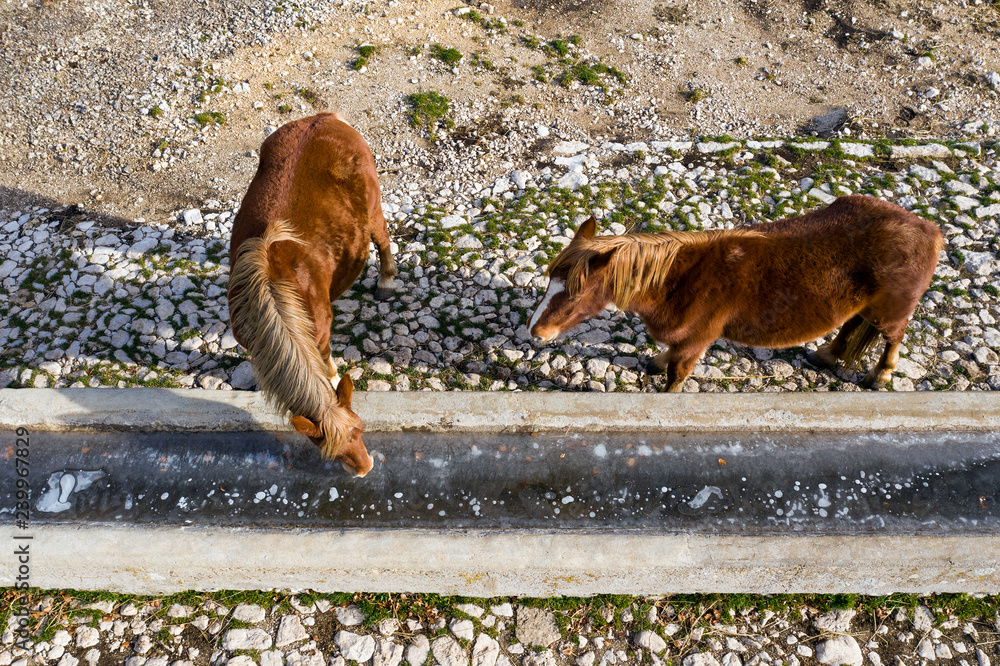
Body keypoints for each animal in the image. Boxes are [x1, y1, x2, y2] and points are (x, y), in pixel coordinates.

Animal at [227, 112, 398, 475]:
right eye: (326, 447)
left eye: (361, 428)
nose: (365, 469)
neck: (275, 292)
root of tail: (323, 118)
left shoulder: (320, 334)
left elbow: (328, 369)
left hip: (373, 206)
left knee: (382, 237)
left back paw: (387, 282)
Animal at [528, 195, 943, 392]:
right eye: (549, 281)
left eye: (576, 294)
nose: (535, 332)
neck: (680, 280)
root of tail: (929, 230)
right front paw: (655, 361)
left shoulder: (696, 341)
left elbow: (676, 378)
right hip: (861, 308)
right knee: (851, 325)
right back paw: (827, 355)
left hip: (891, 312)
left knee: (892, 337)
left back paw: (880, 376)